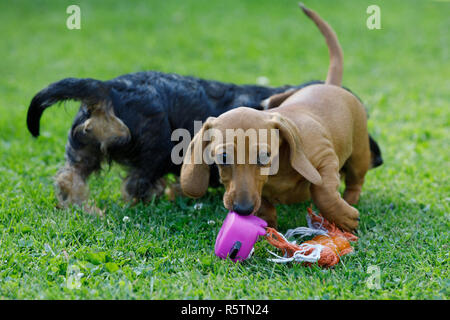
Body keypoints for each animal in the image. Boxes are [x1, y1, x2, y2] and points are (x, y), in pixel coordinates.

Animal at [26, 71, 322, 214]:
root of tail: (108, 88)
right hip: (157, 149)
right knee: (136, 185)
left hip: (85, 145)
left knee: (70, 177)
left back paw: (85, 209)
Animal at [181, 3, 382, 231]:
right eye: (223, 158)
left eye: (264, 156)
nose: (242, 210)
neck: (279, 169)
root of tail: (329, 85)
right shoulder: (259, 192)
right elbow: (265, 204)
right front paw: (267, 226)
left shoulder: (325, 158)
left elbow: (322, 191)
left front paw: (344, 217)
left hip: (359, 153)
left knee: (356, 179)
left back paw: (350, 200)